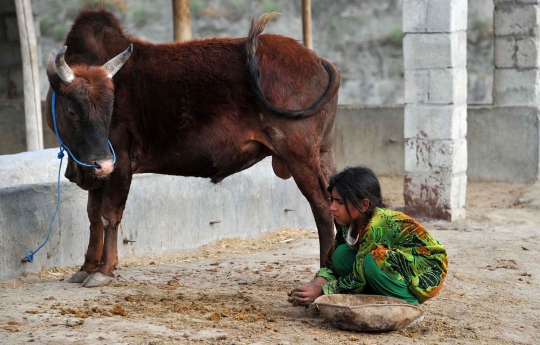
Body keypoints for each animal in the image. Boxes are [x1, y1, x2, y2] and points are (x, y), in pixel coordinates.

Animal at [47, 9, 342, 286]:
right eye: (72, 111)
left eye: (110, 108)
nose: (102, 162)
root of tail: (320, 61)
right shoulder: (97, 170)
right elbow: (93, 216)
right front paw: (86, 267)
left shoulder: (119, 163)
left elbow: (109, 215)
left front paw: (104, 271)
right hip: (322, 153)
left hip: (300, 156)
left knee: (322, 205)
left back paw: (323, 271)